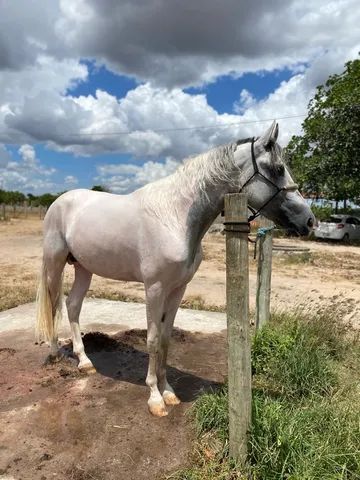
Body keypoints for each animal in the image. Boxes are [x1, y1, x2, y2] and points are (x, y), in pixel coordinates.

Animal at [35, 123, 314, 416]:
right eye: (278, 168)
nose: (309, 220)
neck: (175, 218)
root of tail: (59, 202)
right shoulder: (155, 289)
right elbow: (152, 339)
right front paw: (155, 398)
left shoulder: (178, 288)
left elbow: (166, 338)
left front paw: (168, 391)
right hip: (55, 264)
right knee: (54, 305)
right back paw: (54, 353)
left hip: (84, 268)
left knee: (73, 306)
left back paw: (85, 361)